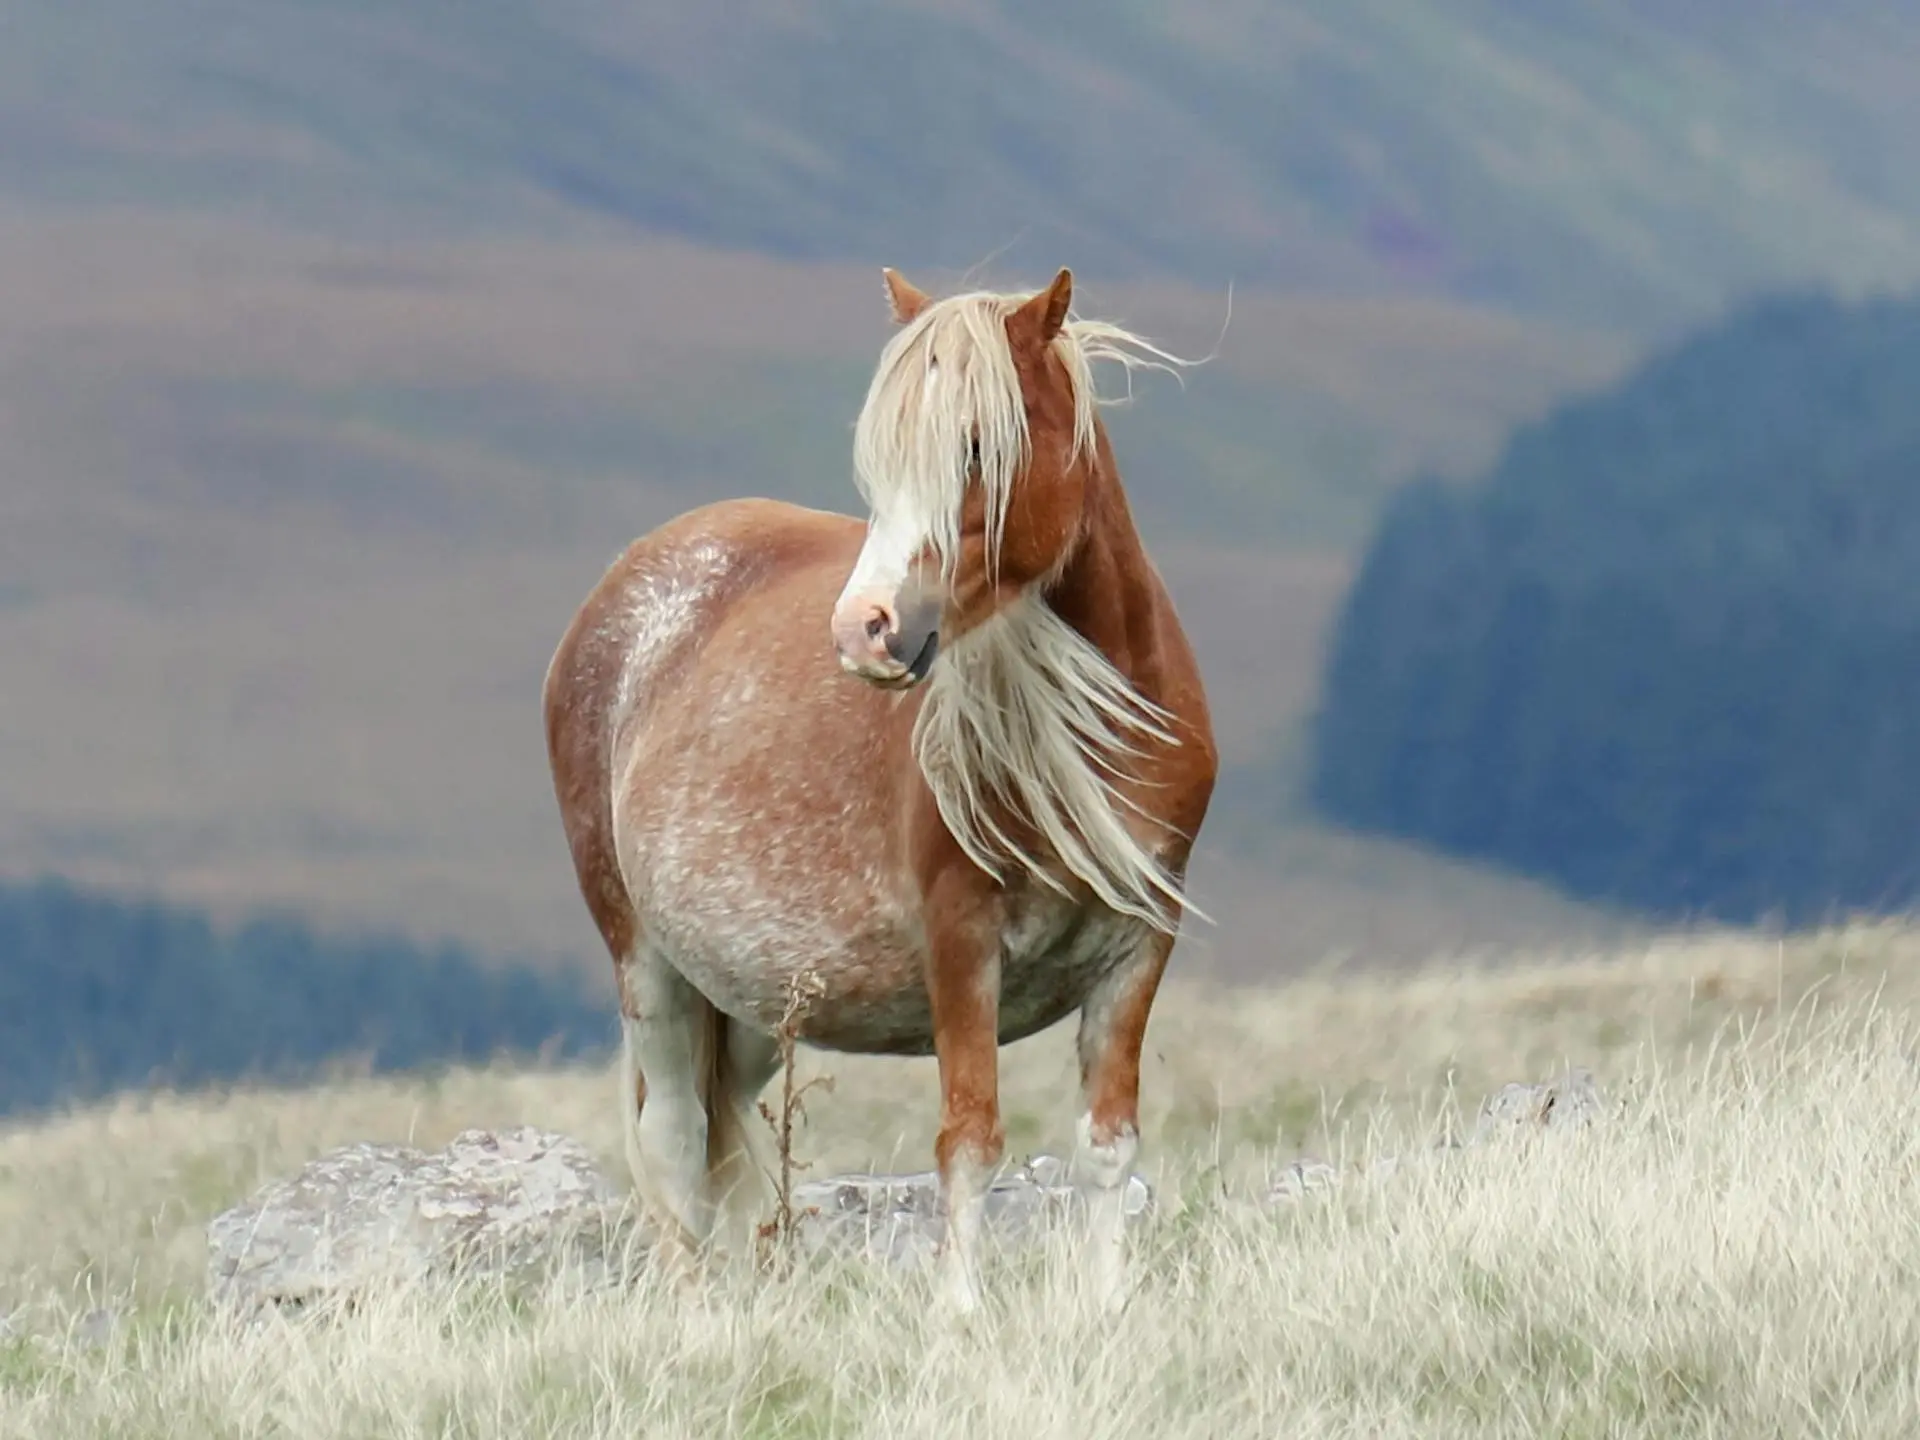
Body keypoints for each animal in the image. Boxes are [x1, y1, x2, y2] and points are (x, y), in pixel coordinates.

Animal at [541, 264, 1221, 1313]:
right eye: (879, 464)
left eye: (979, 446)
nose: (865, 630)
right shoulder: (961, 944)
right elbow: (970, 1140)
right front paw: (959, 1313)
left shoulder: (1138, 946)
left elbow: (1109, 1145)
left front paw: (1106, 1304)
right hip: (647, 963)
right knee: (673, 1143)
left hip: (750, 999)